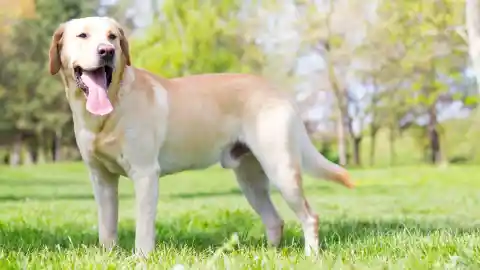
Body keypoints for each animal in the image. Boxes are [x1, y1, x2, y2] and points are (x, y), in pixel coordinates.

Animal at [48, 15, 354, 256]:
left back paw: (310, 255)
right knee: (274, 220)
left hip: (282, 170)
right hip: (250, 180)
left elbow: (143, 227)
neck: (106, 114)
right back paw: (271, 255)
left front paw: (141, 258)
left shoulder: (145, 174)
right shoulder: (101, 179)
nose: (107, 51)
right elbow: (107, 227)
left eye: (112, 36)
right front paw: (108, 255)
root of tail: (278, 91)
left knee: (310, 217)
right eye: (83, 35)